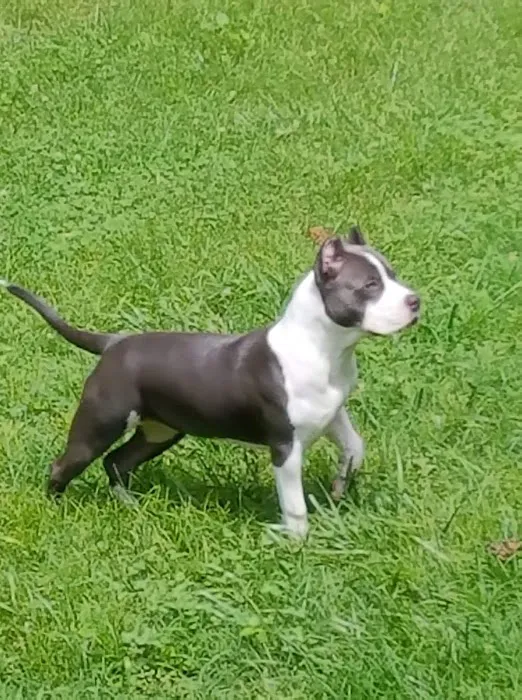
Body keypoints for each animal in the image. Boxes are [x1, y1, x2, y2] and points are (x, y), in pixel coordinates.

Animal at [1, 226, 420, 536]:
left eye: (393, 276)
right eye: (370, 285)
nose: (415, 300)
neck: (324, 349)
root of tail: (114, 343)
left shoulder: (332, 412)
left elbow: (354, 445)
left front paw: (340, 485)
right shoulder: (285, 447)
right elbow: (295, 504)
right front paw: (297, 543)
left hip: (161, 430)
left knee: (117, 462)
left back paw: (132, 507)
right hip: (101, 423)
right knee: (67, 464)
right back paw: (57, 509)